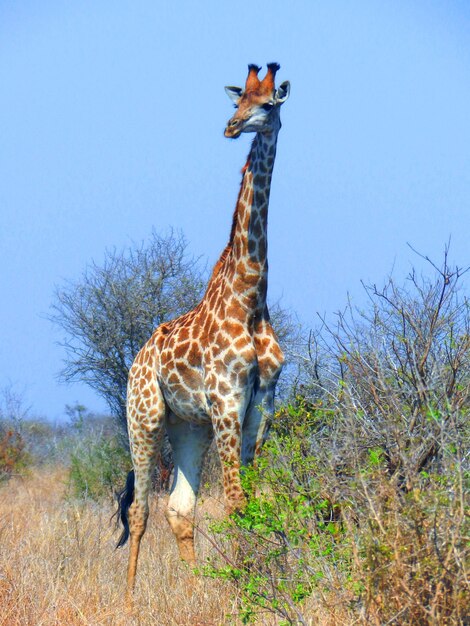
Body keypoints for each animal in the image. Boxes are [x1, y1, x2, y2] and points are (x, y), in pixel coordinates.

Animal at [116, 63, 290, 596]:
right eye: (238, 101)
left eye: (267, 104)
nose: (231, 128)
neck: (250, 297)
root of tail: (137, 359)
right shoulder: (228, 402)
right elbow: (235, 503)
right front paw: (242, 593)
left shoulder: (260, 407)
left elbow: (255, 502)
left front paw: (258, 584)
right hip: (144, 417)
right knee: (141, 507)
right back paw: (128, 602)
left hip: (188, 426)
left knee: (179, 509)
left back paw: (193, 591)